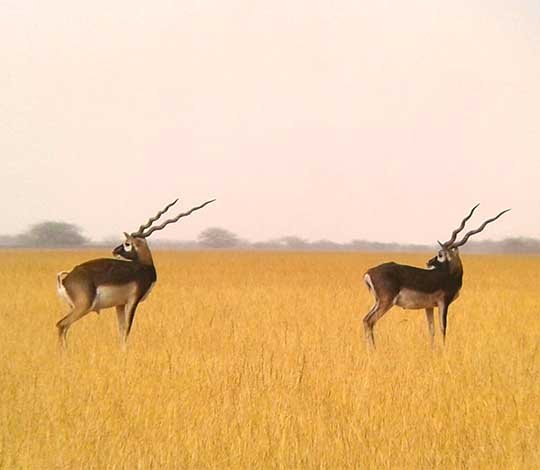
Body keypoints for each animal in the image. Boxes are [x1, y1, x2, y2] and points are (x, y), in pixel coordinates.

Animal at [55, 196, 215, 346]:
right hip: (83, 307)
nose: (114, 251)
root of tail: (65, 279)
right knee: (61, 324)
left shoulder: (120, 304)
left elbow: (121, 329)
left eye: (127, 243)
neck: (145, 267)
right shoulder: (133, 299)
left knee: (64, 326)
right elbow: (127, 329)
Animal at [362, 206, 510, 348]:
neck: (449, 275)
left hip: (378, 301)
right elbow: (443, 327)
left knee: (365, 320)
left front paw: (433, 349)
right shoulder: (443, 302)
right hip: (386, 302)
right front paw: (444, 349)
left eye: (439, 254)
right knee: (370, 320)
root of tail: (369, 272)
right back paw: (373, 350)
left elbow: (431, 329)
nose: (428, 262)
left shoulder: (429, 306)